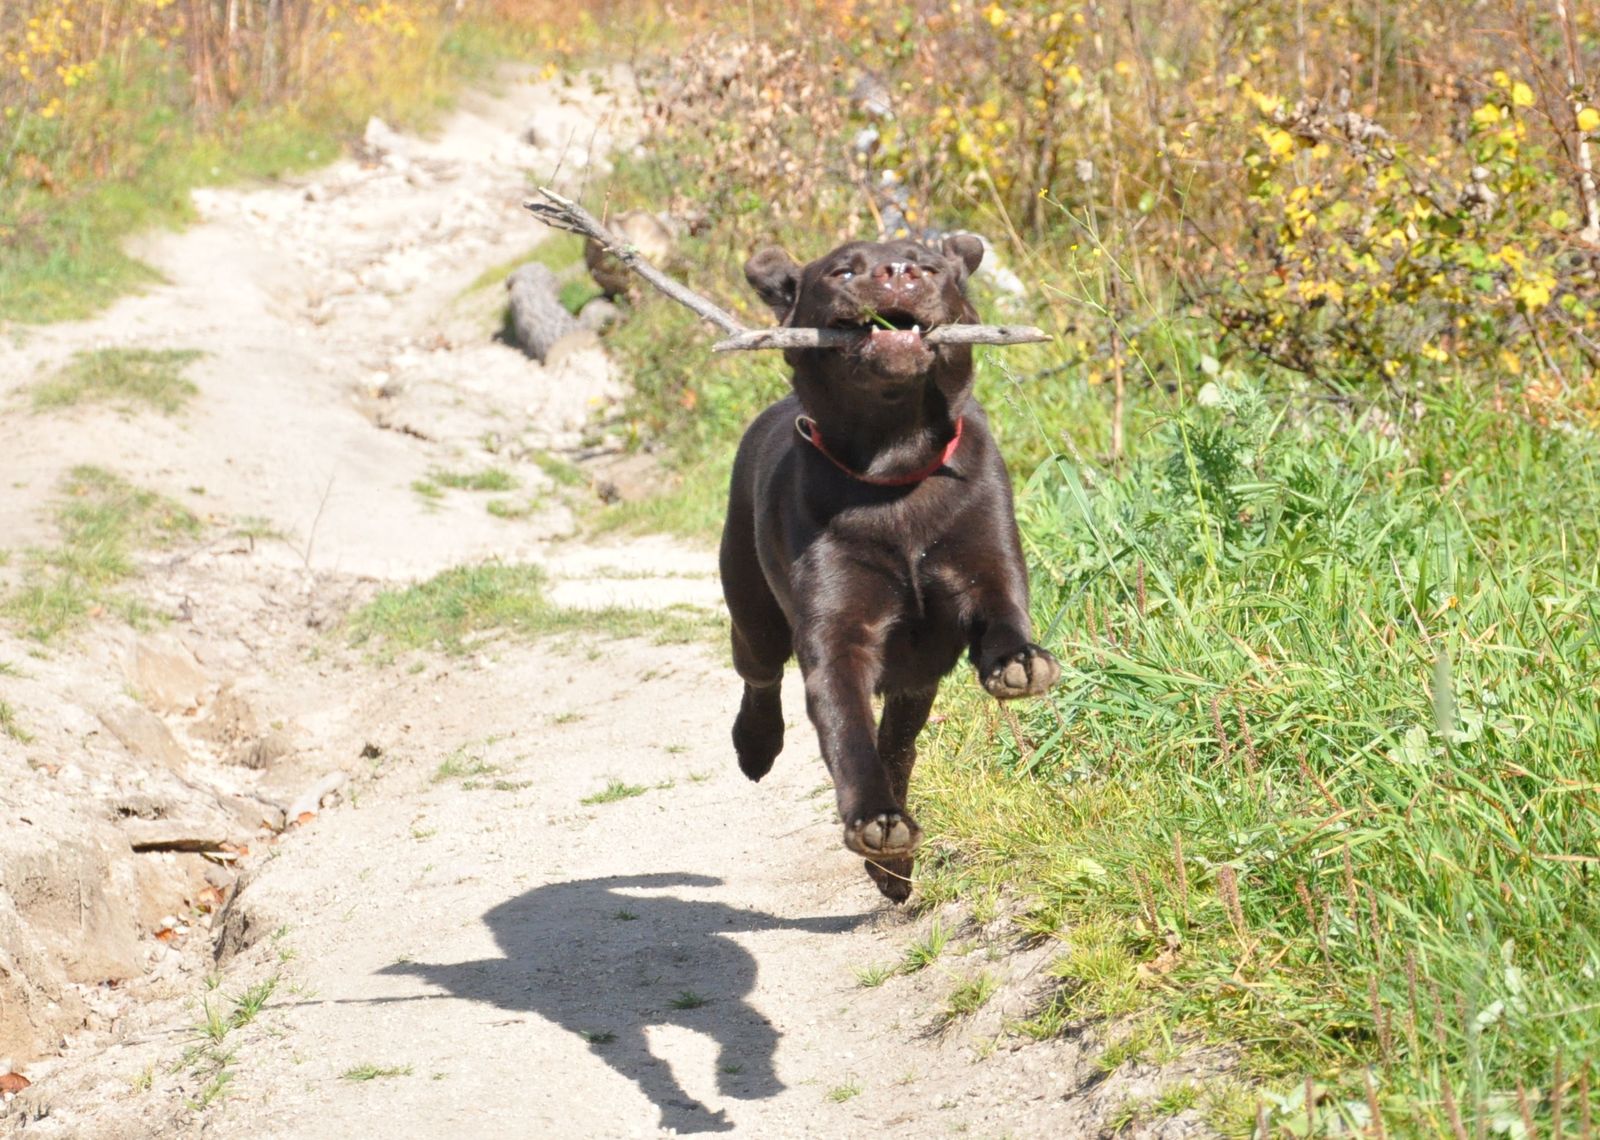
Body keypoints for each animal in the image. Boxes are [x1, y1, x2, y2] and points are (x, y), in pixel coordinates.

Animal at [720, 235, 1056, 903]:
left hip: (914, 681)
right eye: (842, 270)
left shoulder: (988, 569)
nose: (898, 272)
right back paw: (757, 746)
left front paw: (1020, 662)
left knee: (898, 747)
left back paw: (894, 873)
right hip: (751, 608)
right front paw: (875, 821)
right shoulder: (837, 636)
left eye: (928, 264)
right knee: (760, 676)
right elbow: (848, 736)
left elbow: (1003, 612)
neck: (894, 467)